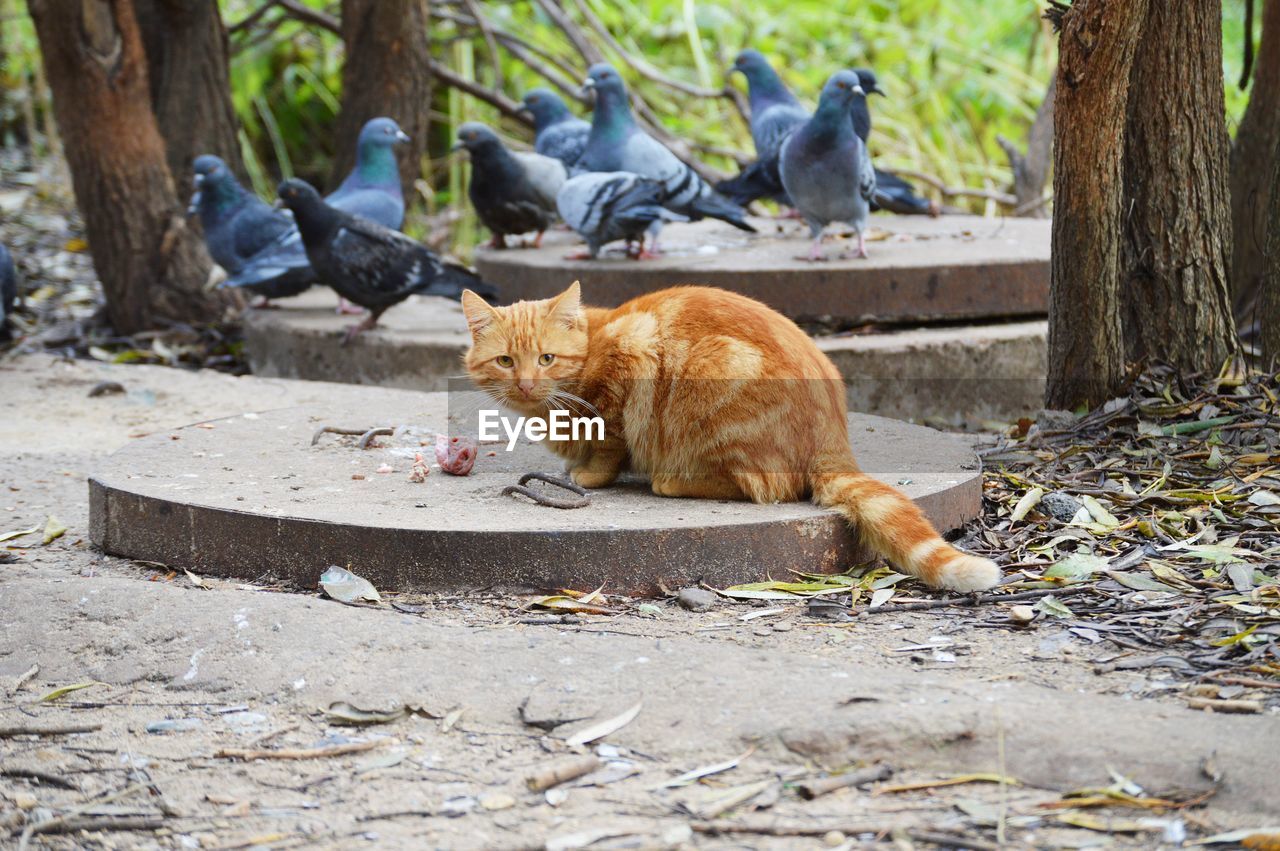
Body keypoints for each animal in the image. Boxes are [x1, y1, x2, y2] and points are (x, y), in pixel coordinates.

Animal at [460, 281, 998, 588]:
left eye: (546, 358)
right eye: (506, 361)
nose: (526, 383)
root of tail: (834, 437)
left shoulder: (627, 365)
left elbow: (609, 444)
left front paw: (589, 474)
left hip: (712, 380)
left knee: (764, 485)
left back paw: (670, 479)